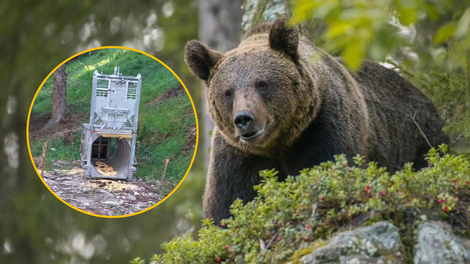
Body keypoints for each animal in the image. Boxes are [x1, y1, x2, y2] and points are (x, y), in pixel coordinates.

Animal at [183, 17, 448, 223]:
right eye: (228, 92)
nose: (244, 119)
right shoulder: (238, 155)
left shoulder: (324, 126)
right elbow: (229, 205)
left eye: (262, 83)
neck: (278, 143)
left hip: (418, 138)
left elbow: (326, 170)